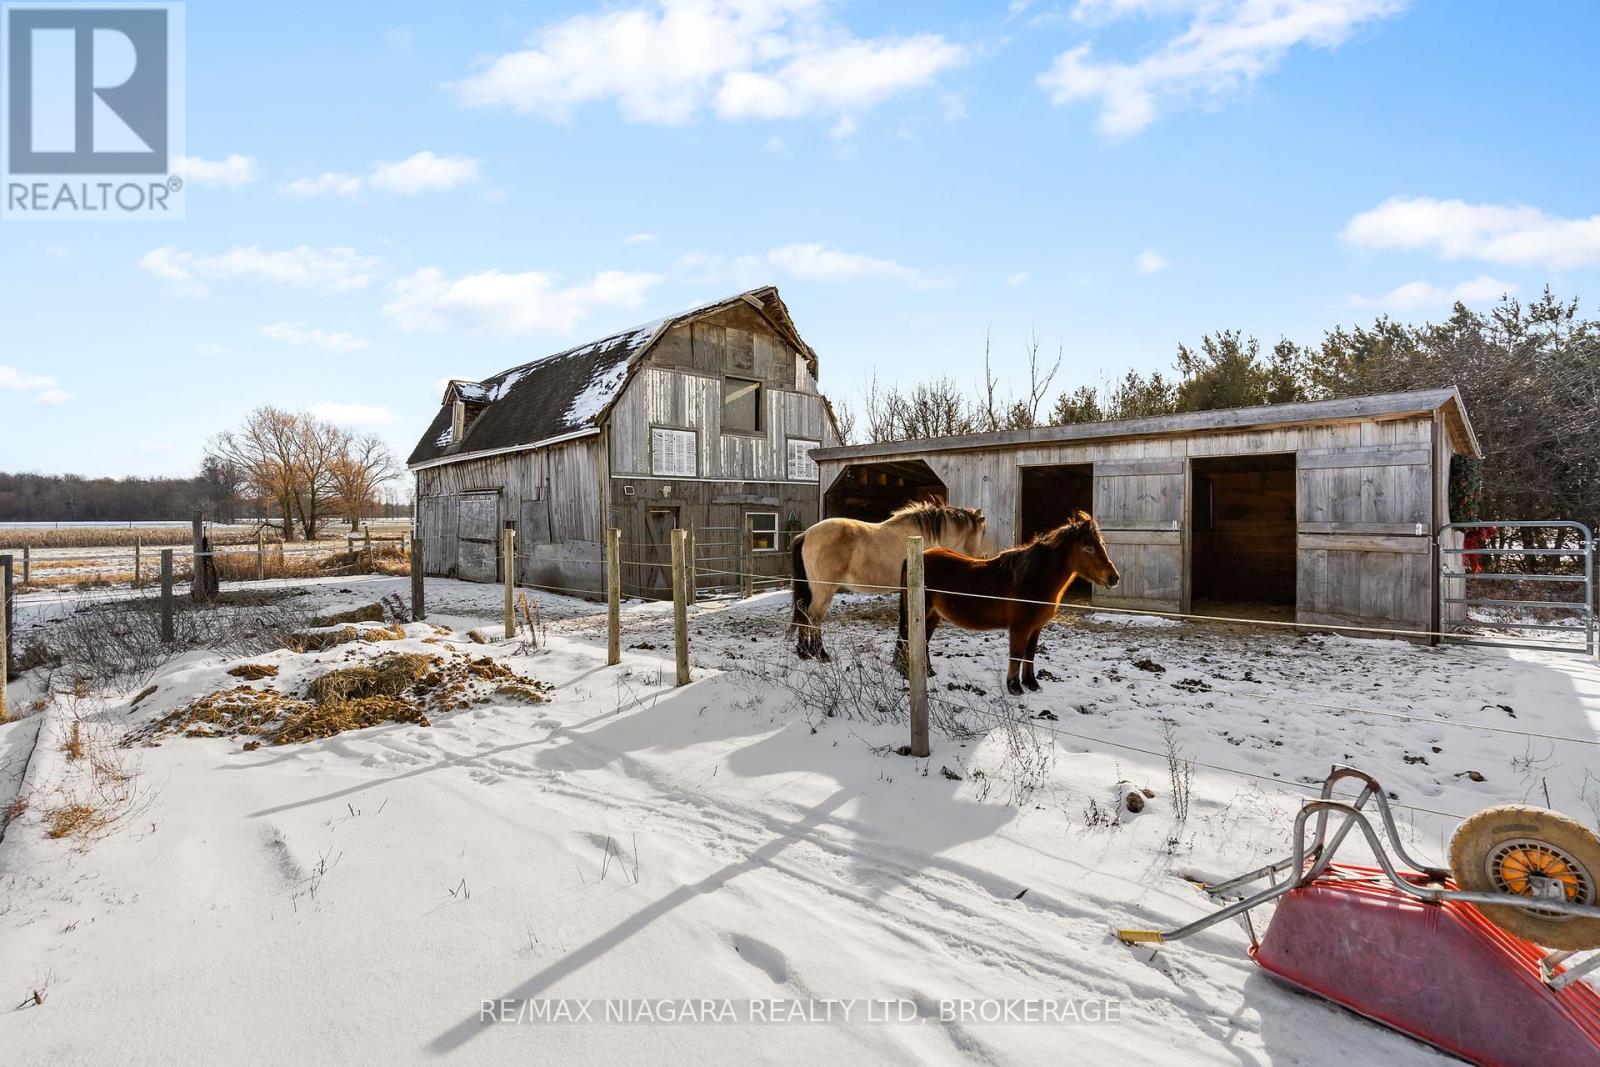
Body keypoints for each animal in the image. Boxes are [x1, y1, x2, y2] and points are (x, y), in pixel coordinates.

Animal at [790, 502, 985, 659]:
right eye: (983, 532)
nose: (980, 558)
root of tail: (806, 534)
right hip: (823, 591)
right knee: (814, 616)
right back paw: (821, 654)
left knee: (803, 612)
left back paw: (804, 652)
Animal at [896, 511, 1120, 697]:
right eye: (1089, 548)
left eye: (1102, 545)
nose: (1114, 578)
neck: (1032, 580)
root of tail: (916, 556)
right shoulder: (1020, 627)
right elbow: (1017, 654)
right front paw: (1014, 687)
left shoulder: (1036, 627)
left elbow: (1030, 654)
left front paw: (1032, 683)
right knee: (909, 640)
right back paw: (908, 672)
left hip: (932, 615)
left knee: (922, 641)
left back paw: (927, 672)